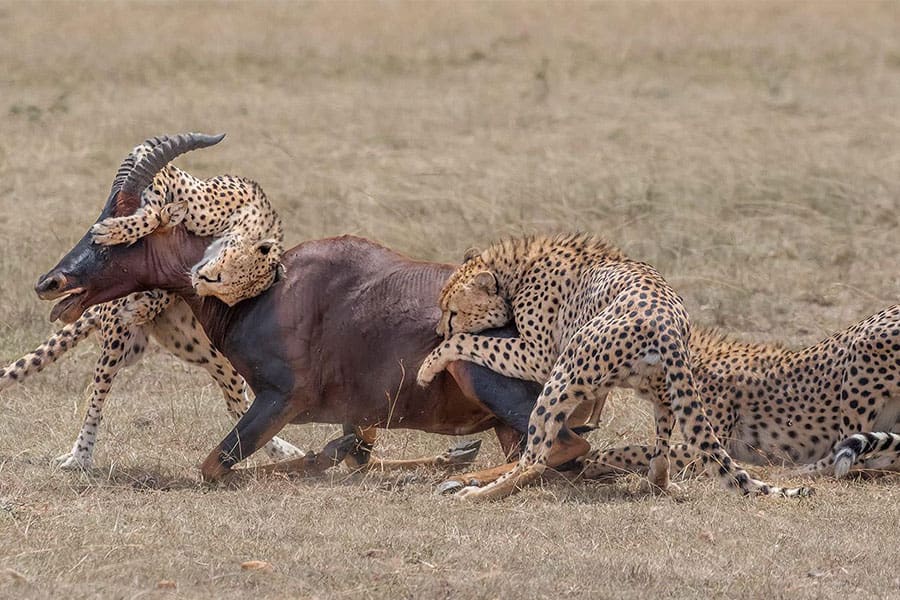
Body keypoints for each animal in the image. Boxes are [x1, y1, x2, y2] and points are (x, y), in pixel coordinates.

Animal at [418, 234, 812, 502]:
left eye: (453, 311)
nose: (437, 329)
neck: (515, 270)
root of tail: (664, 320)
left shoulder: (537, 354)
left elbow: (470, 341)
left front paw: (430, 363)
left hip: (563, 374)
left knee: (536, 457)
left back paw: (478, 493)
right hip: (662, 391)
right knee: (662, 450)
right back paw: (658, 482)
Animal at [576, 308, 900, 480]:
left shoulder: (704, 449)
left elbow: (635, 449)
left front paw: (593, 460)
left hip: (863, 348)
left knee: (847, 453)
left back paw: (793, 472)